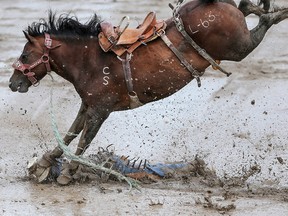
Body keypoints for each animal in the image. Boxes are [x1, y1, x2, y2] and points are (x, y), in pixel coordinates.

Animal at [7, 0, 286, 185]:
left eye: (25, 54)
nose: (12, 83)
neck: (90, 59)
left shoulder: (100, 111)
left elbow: (84, 140)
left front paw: (67, 172)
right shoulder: (88, 105)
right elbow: (71, 134)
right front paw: (44, 163)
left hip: (239, 47)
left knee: (261, 23)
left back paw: (278, 13)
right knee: (246, 6)